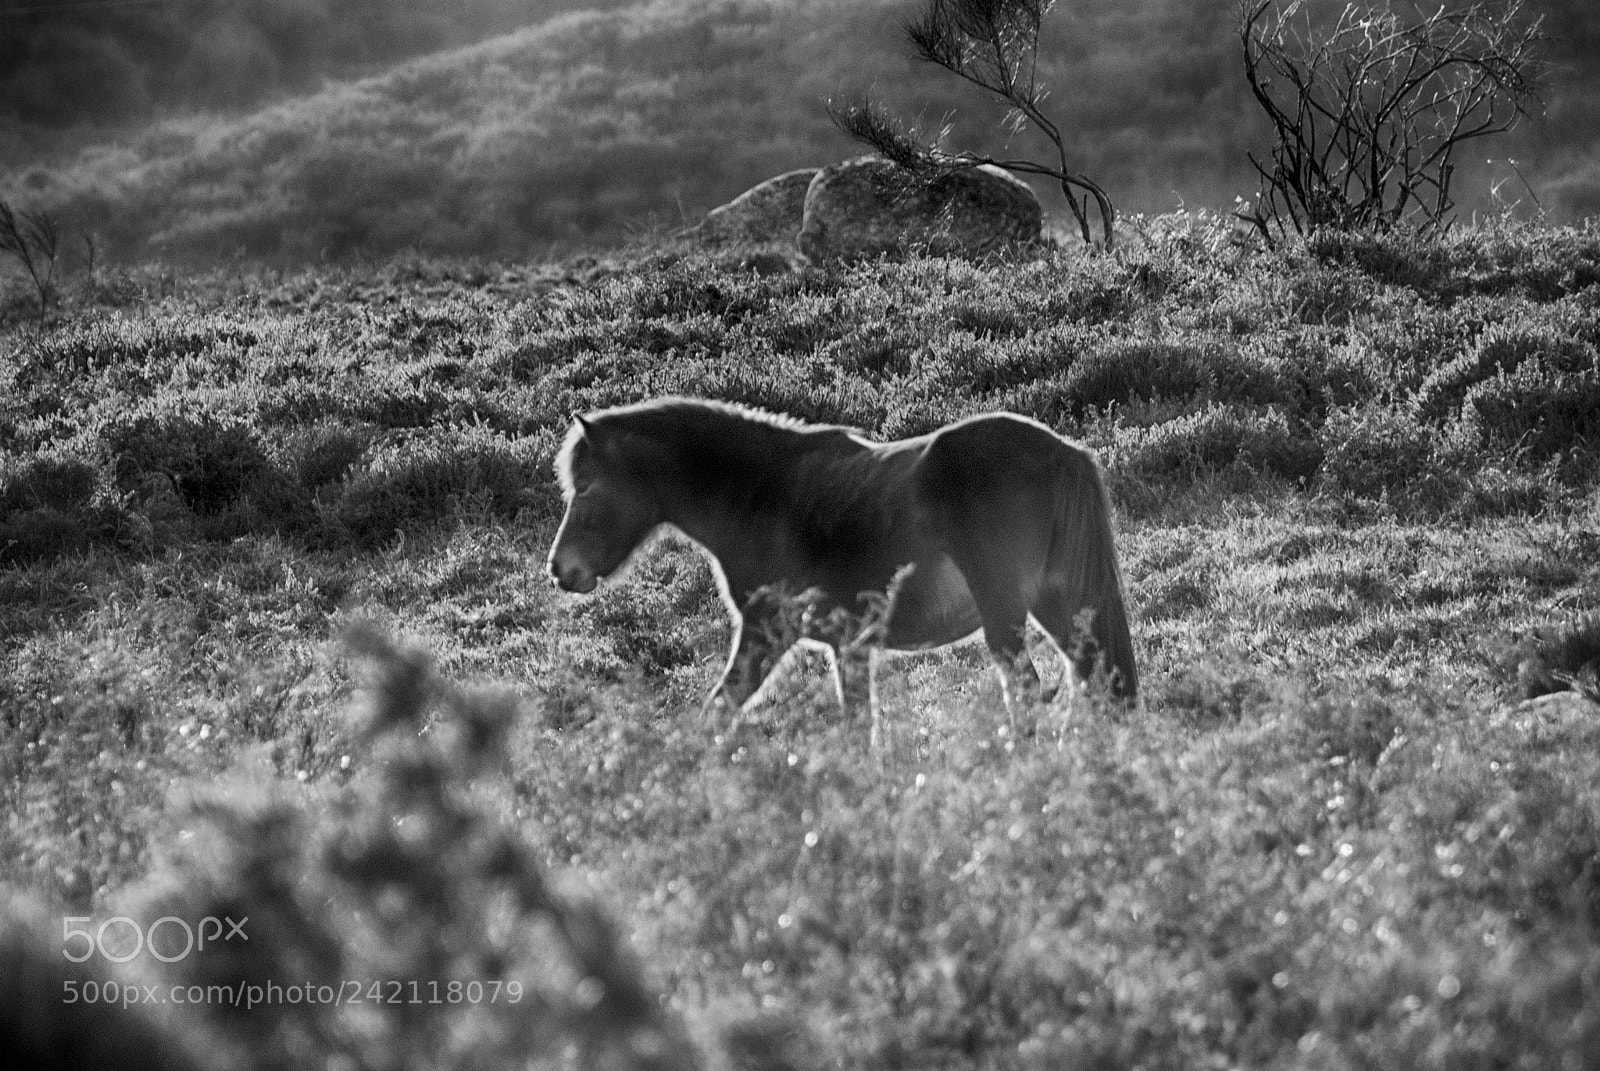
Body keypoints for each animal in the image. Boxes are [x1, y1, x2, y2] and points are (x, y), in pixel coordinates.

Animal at [547, 397, 1138, 738]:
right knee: (1095, 680)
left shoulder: (767, 631)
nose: (559, 570)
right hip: (1058, 605)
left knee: (1033, 690)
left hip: (1006, 613)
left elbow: (718, 707)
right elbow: (858, 727)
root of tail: (1063, 453)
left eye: (589, 489)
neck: (760, 497)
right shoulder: (848, 645)